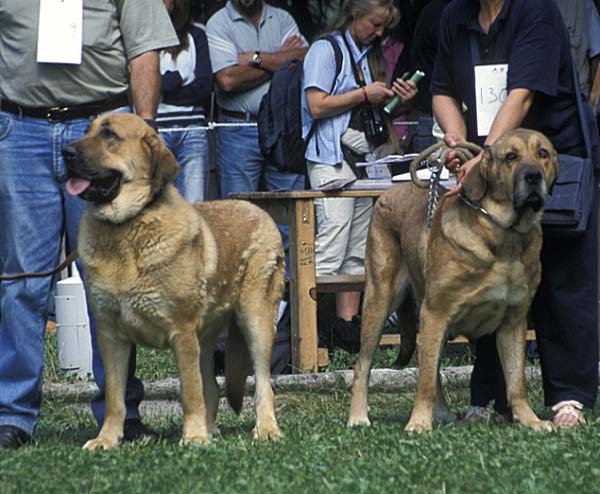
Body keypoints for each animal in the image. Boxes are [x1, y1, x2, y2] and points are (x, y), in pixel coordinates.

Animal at [63, 112, 286, 448]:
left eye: (109, 135)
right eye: (86, 131)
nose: (65, 153)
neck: (126, 228)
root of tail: (258, 209)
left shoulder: (181, 331)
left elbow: (190, 392)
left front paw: (193, 438)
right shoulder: (111, 335)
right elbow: (115, 398)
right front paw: (107, 440)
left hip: (255, 320)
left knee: (262, 383)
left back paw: (266, 429)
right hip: (205, 338)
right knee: (212, 387)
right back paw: (212, 429)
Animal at [346, 128, 556, 432]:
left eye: (543, 154)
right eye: (511, 157)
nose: (533, 176)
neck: (504, 238)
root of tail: (388, 192)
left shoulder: (513, 322)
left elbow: (516, 381)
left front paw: (530, 420)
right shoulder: (435, 313)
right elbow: (422, 381)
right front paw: (418, 424)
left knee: (432, 370)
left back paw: (442, 414)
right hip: (380, 300)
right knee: (363, 365)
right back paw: (358, 417)